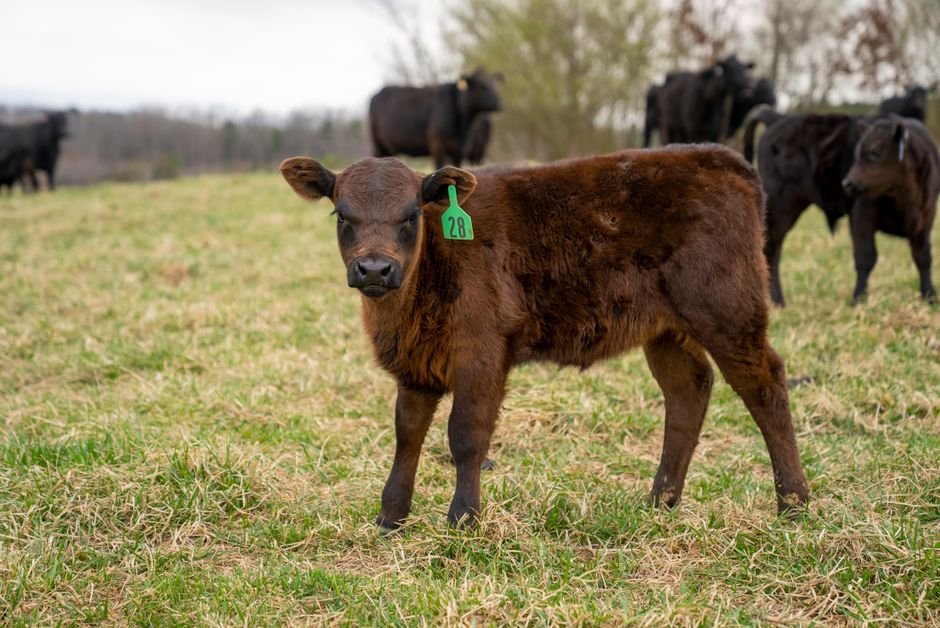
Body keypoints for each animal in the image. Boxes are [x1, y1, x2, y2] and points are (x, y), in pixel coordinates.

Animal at [279, 145, 809, 530]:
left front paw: (463, 519)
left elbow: (466, 435)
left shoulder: (483, 355)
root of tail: (722, 158)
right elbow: (407, 433)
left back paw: (793, 504)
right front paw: (391, 517)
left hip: (728, 312)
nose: (374, 268)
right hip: (665, 330)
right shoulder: (416, 366)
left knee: (765, 386)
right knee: (688, 391)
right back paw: (660, 501)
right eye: (342, 215)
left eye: (411, 215)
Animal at [369, 68, 502, 169]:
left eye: (494, 85)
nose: (499, 102)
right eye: (481, 86)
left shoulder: (459, 151)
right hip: (378, 144)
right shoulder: (437, 147)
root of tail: (377, 94)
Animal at [842, 115, 940, 303]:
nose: (847, 183)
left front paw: (929, 295)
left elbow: (923, 257)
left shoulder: (925, 219)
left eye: (876, 151)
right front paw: (858, 298)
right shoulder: (861, 217)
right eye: (856, 154)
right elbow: (865, 257)